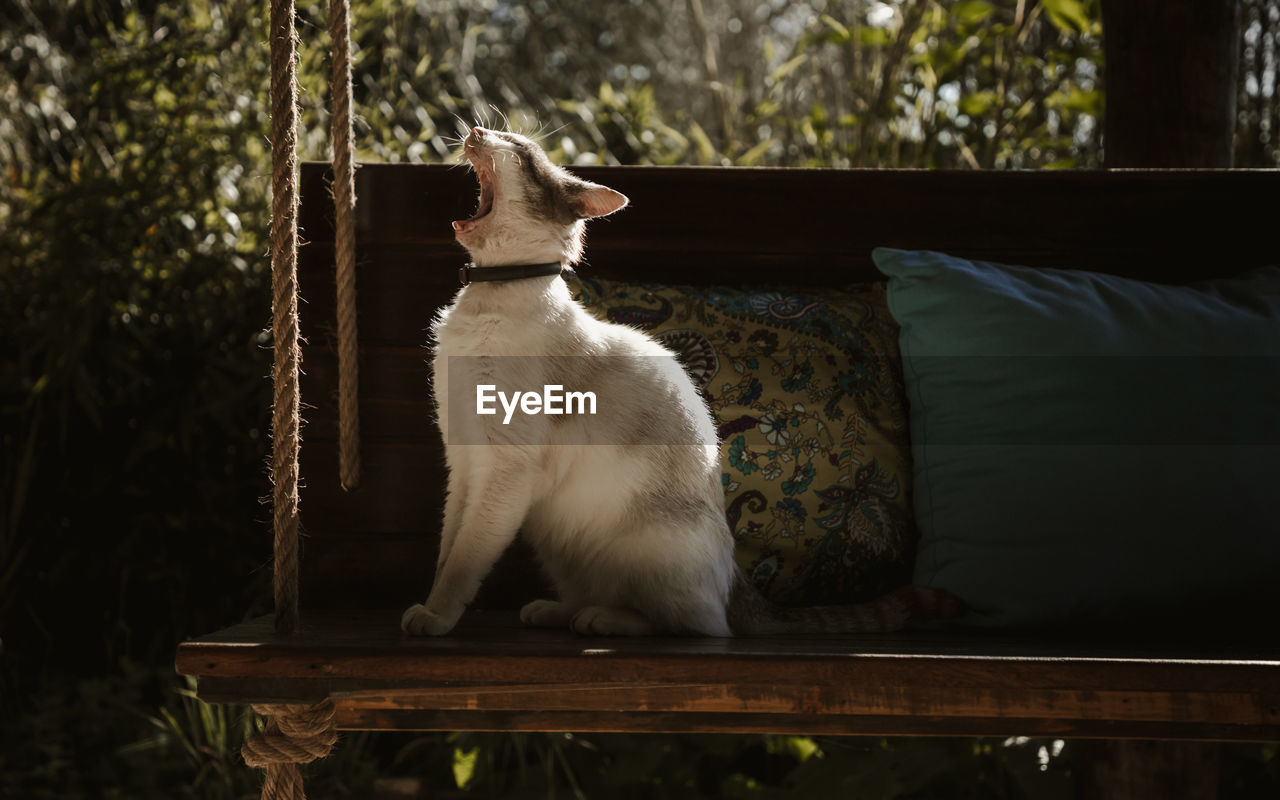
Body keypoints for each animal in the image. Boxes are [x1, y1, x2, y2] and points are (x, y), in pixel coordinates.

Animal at [401, 126, 962, 637]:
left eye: (516, 149)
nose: (476, 129)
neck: (488, 299)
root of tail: (738, 577)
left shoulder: (504, 470)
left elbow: (465, 561)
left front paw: (434, 619)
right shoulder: (465, 463)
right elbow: (448, 548)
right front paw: (427, 607)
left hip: (643, 546)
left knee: (694, 624)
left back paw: (600, 621)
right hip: (557, 540)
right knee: (606, 596)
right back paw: (556, 612)